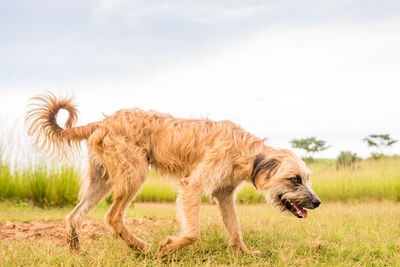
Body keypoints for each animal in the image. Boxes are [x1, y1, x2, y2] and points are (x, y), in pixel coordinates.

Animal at [25, 93, 322, 258]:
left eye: (307, 178)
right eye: (294, 179)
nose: (318, 202)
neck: (246, 151)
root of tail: (104, 121)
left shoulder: (224, 195)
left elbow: (235, 228)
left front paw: (245, 253)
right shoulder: (193, 185)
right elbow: (192, 232)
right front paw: (168, 248)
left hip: (102, 181)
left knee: (74, 216)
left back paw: (78, 252)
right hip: (133, 176)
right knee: (112, 217)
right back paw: (140, 247)